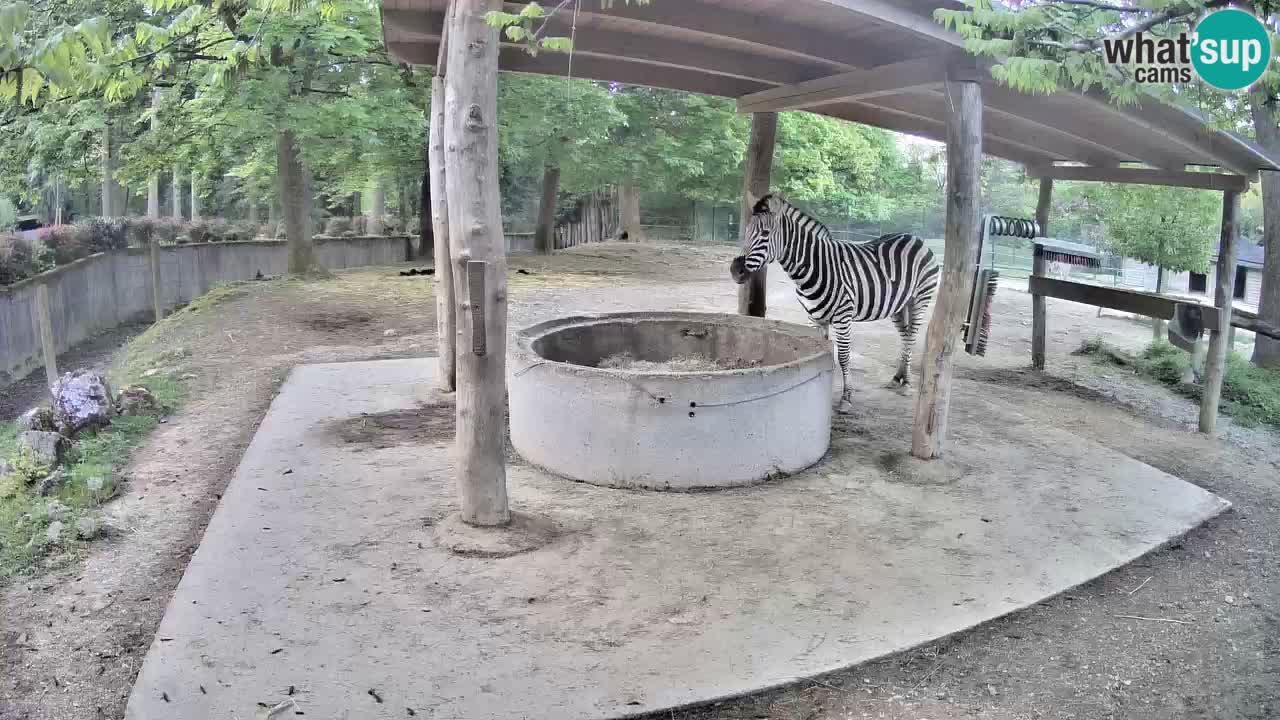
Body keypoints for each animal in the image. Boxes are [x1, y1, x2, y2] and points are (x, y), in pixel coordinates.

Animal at [729, 194, 940, 414]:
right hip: (899, 306)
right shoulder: (814, 317)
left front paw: (846, 398)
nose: (736, 270)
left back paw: (906, 383)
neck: (814, 269)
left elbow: (843, 357)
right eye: (746, 232)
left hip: (920, 299)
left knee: (911, 338)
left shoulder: (842, 316)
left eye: (765, 233)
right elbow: (824, 351)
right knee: (905, 336)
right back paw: (897, 377)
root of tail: (915, 238)